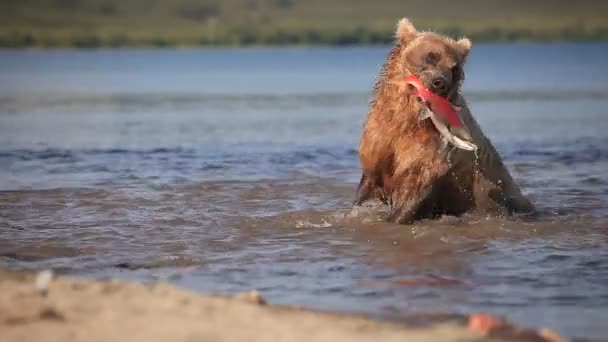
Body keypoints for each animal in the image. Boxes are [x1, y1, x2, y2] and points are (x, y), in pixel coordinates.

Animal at [354, 17, 536, 223]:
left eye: (454, 68)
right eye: (430, 56)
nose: (440, 82)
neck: (410, 117)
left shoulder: (433, 149)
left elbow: (416, 183)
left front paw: (394, 217)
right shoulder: (381, 137)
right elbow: (370, 182)